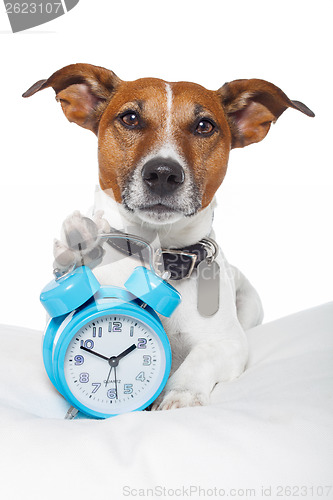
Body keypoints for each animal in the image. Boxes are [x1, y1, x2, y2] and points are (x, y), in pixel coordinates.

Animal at [22, 64, 312, 410]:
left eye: (204, 126)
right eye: (131, 118)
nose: (163, 173)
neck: (160, 256)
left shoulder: (230, 342)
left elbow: (202, 356)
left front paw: (180, 393)